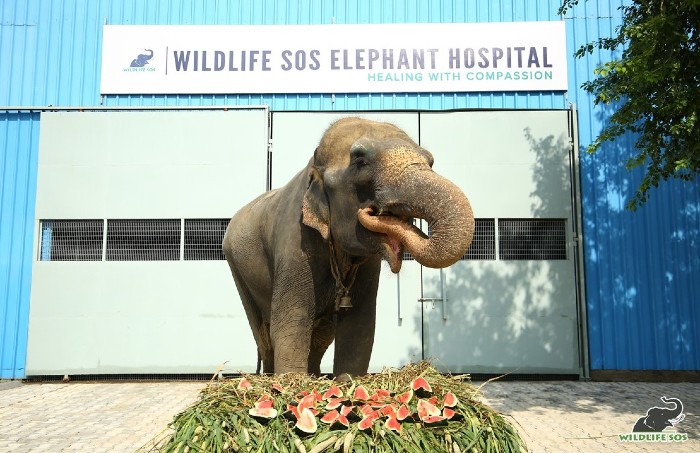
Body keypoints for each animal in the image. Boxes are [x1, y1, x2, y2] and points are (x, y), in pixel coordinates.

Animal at [223, 117, 476, 378]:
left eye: (431, 161)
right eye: (361, 161)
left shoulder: (368, 265)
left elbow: (359, 327)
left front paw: (346, 382)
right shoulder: (294, 241)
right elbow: (292, 324)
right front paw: (292, 383)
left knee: (323, 332)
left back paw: (314, 376)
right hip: (236, 267)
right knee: (263, 333)